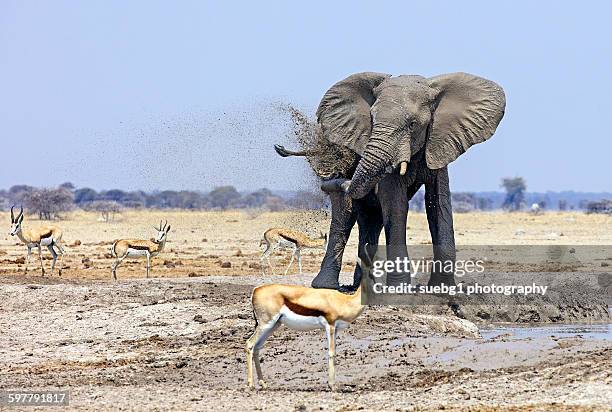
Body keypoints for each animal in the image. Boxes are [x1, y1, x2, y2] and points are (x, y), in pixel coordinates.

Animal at [274, 71, 504, 290]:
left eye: (413, 124)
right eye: (372, 120)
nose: (343, 177)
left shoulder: (438, 142)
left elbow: (439, 203)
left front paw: (443, 290)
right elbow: (396, 205)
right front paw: (399, 289)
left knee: (371, 219)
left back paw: (364, 287)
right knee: (345, 214)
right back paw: (326, 286)